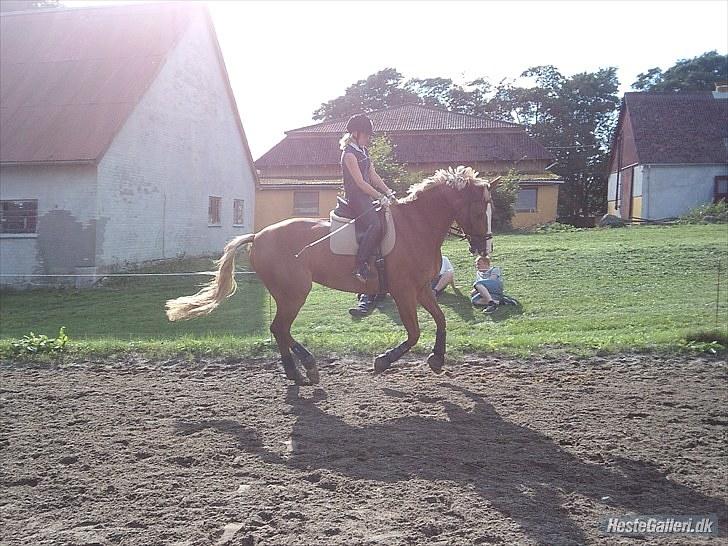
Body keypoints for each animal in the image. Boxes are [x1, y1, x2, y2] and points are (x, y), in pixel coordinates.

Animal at [166, 166, 494, 382]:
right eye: (479, 212)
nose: (484, 249)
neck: (416, 226)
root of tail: (258, 236)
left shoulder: (422, 288)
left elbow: (441, 319)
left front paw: (437, 358)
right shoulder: (403, 291)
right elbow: (413, 333)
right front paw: (383, 361)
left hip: (289, 293)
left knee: (280, 330)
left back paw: (301, 369)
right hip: (294, 292)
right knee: (279, 328)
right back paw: (303, 370)